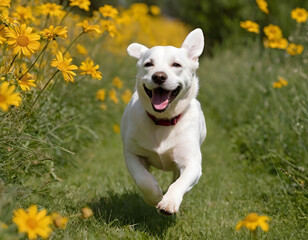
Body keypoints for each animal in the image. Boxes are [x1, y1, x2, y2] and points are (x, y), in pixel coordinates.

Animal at [121, 28, 207, 216]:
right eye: (148, 64)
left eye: (176, 65)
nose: (159, 76)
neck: (163, 121)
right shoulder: (132, 154)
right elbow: (143, 179)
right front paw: (155, 196)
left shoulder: (192, 162)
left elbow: (180, 182)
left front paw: (169, 202)